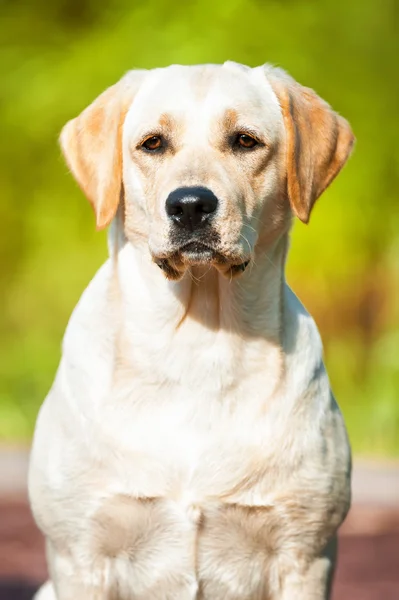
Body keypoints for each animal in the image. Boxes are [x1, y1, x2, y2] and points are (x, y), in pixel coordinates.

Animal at [28, 62, 354, 600]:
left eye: (245, 140)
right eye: (153, 143)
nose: (190, 206)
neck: (198, 342)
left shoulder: (305, 554)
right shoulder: (80, 555)